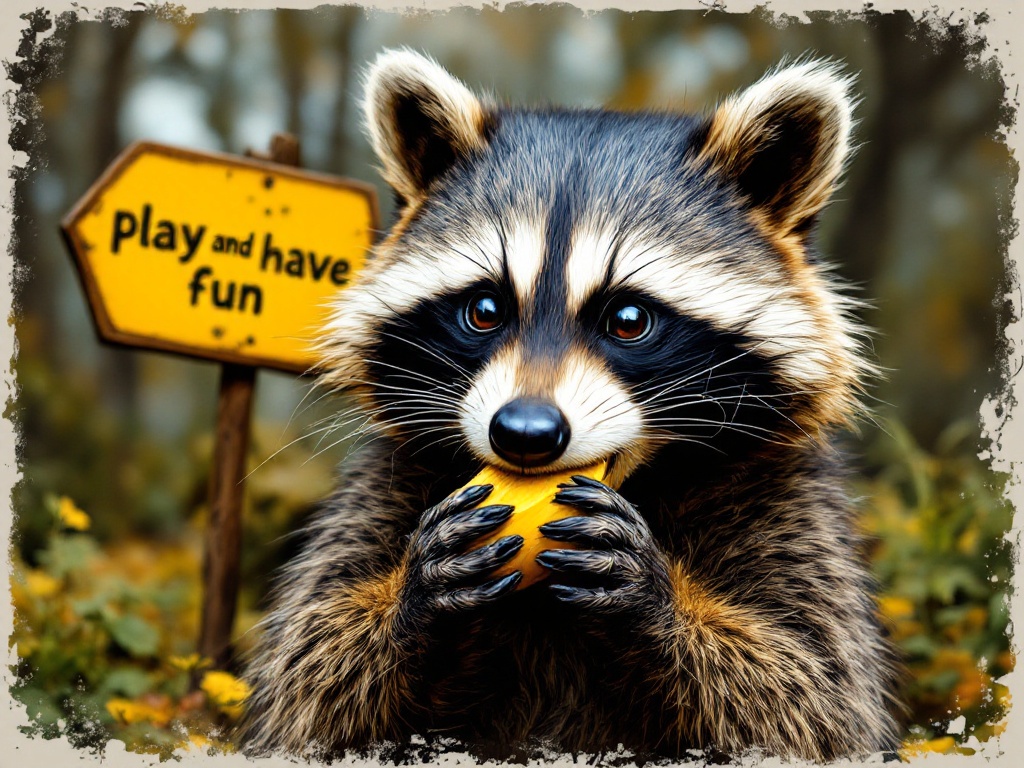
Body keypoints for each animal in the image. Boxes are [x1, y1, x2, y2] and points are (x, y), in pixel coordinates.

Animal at [240, 49, 904, 761]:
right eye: (485, 309)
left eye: (629, 319)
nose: (524, 432)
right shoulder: (384, 487)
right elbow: (308, 684)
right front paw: (411, 599)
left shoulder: (789, 505)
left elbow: (815, 696)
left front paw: (660, 604)